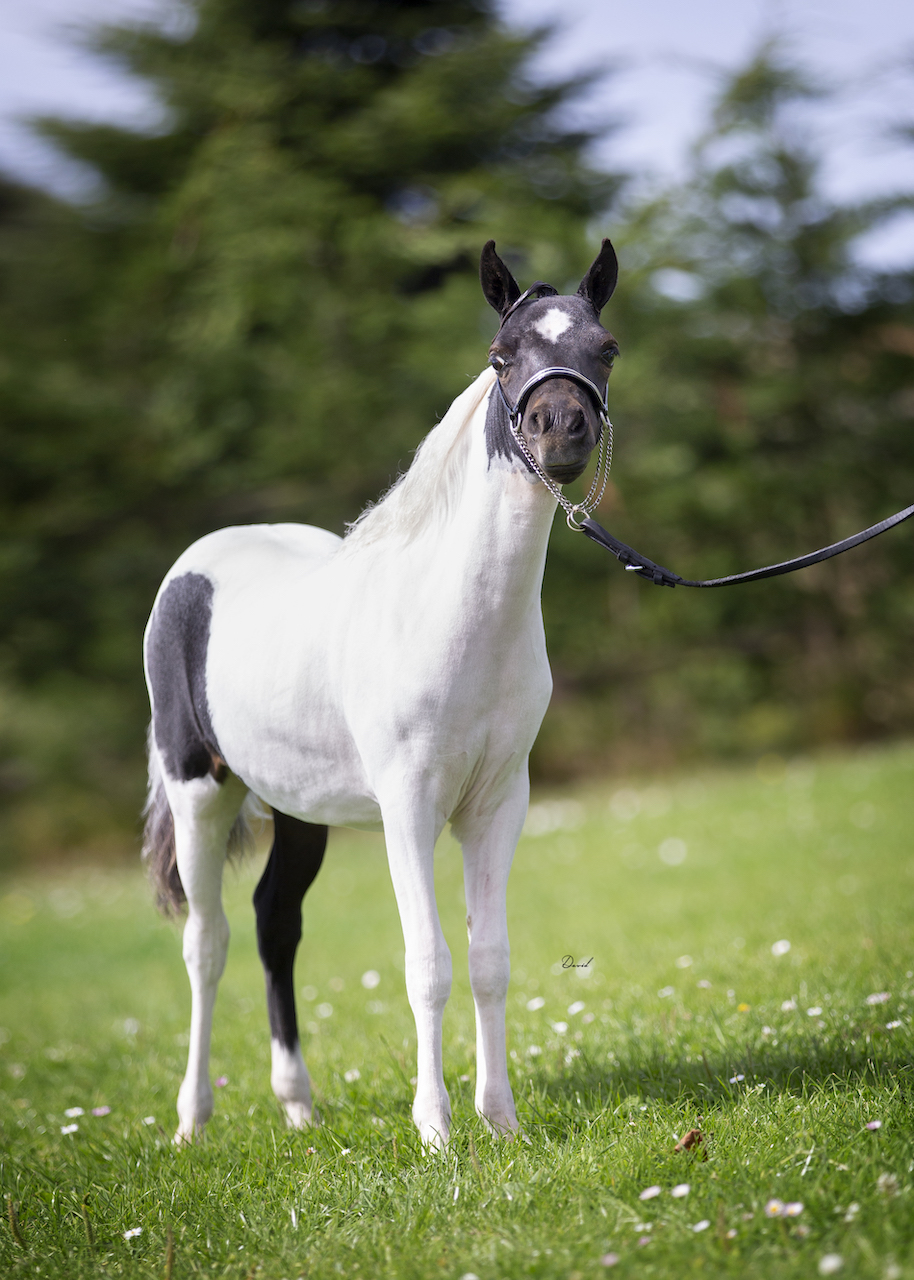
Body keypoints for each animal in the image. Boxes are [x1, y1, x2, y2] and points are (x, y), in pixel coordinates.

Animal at [142, 238, 620, 1148]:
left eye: (605, 349)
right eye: (502, 356)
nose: (560, 432)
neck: (451, 616)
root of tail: (195, 566)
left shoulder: (498, 804)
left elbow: (489, 959)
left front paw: (500, 1121)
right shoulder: (409, 805)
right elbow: (428, 963)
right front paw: (435, 1131)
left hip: (296, 808)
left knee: (274, 923)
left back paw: (297, 1105)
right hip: (199, 791)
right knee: (206, 944)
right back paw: (191, 1122)